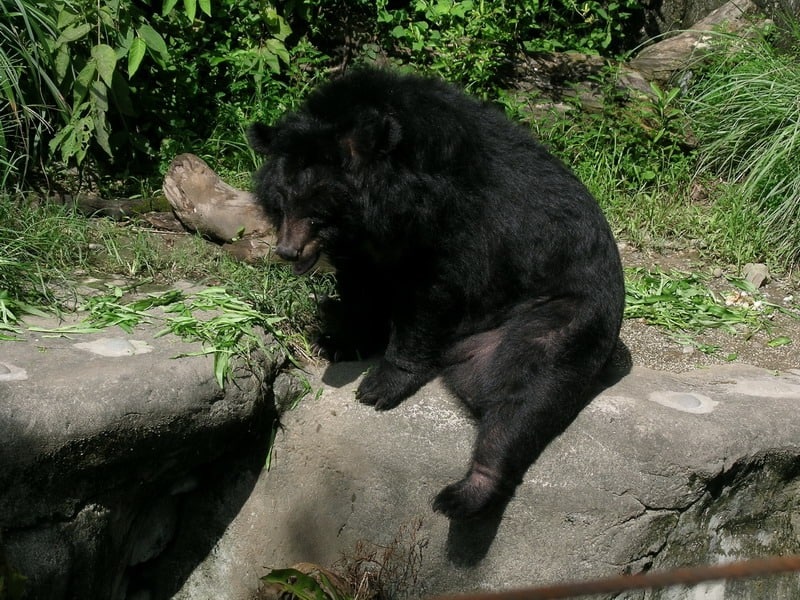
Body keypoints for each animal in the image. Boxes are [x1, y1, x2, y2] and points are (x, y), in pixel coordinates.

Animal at [247, 68, 628, 520]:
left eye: (317, 210)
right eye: (281, 202)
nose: (288, 251)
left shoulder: (454, 224)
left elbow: (430, 296)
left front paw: (379, 386)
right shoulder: (364, 246)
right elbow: (360, 288)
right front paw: (339, 341)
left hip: (563, 315)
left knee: (527, 393)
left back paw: (466, 492)